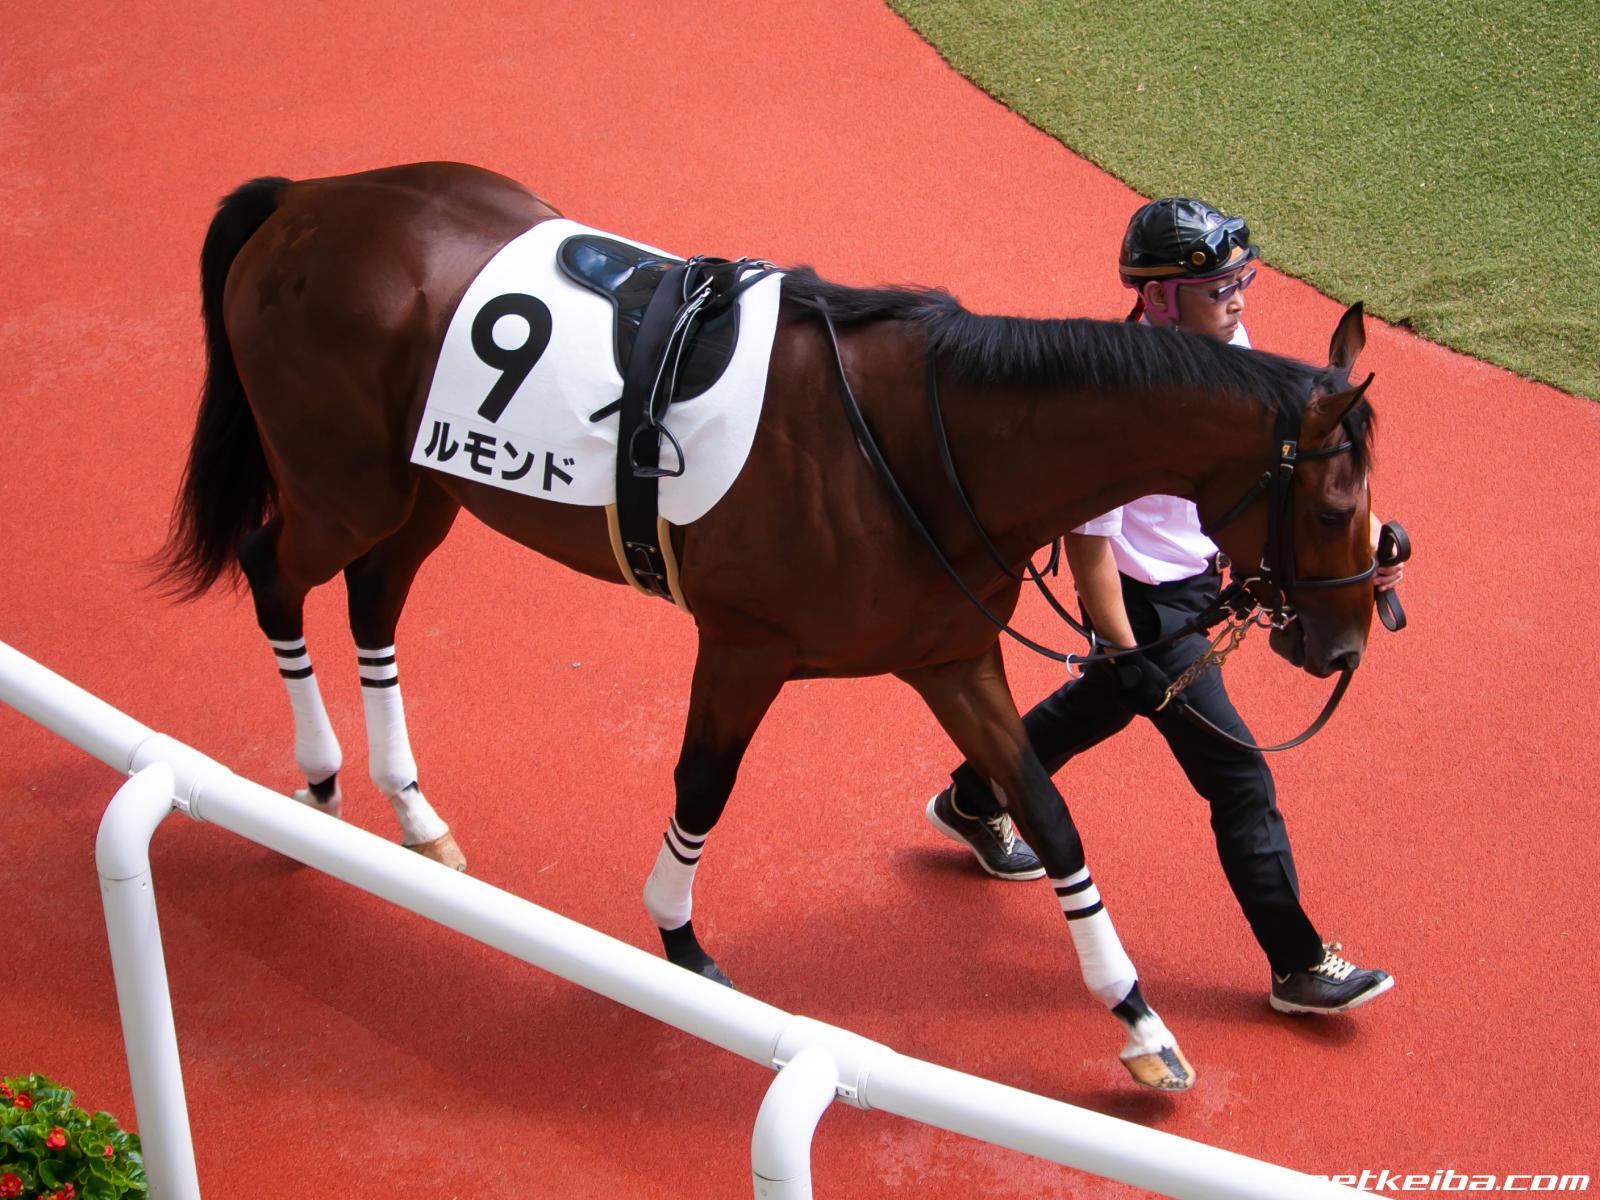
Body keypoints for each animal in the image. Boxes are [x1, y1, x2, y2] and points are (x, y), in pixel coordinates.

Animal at [156, 161, 1379, 1092]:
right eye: (1332, 505)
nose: (1342, 647)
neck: (929, 442)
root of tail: (307, 196)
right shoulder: (744, 645)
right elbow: (703, 785)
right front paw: (678, 940)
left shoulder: (950, 655)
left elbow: (1053, 815)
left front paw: (1139, 1022)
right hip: (344, 486)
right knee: (273, 576)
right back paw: (318, 781)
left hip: (427, 489)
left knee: (373, 604)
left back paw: (411, 810)